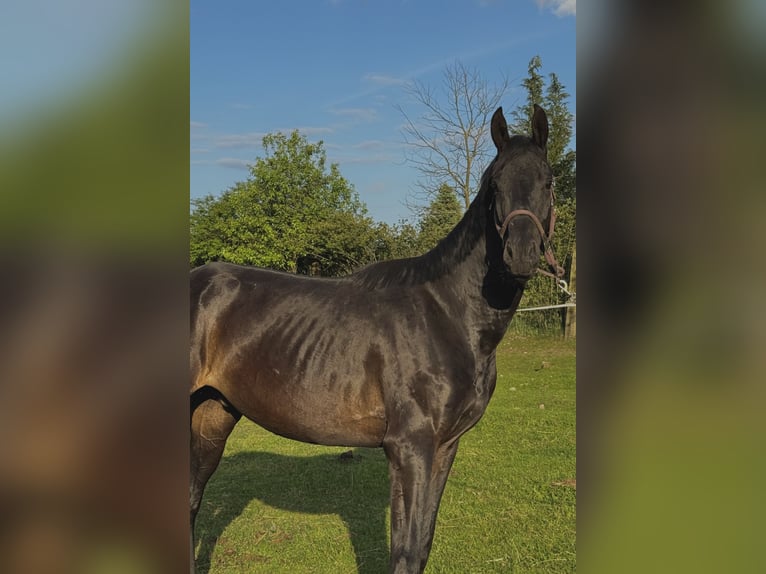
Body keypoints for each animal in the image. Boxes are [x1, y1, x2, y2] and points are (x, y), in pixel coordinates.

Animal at [190, 104, 559, 573]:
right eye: (495, 184)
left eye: (547, 181)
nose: (521, 255)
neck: (447, 314)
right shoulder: (409, 448)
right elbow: (405, 549)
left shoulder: (445, 447)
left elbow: (421, 545)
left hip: (212, 415)